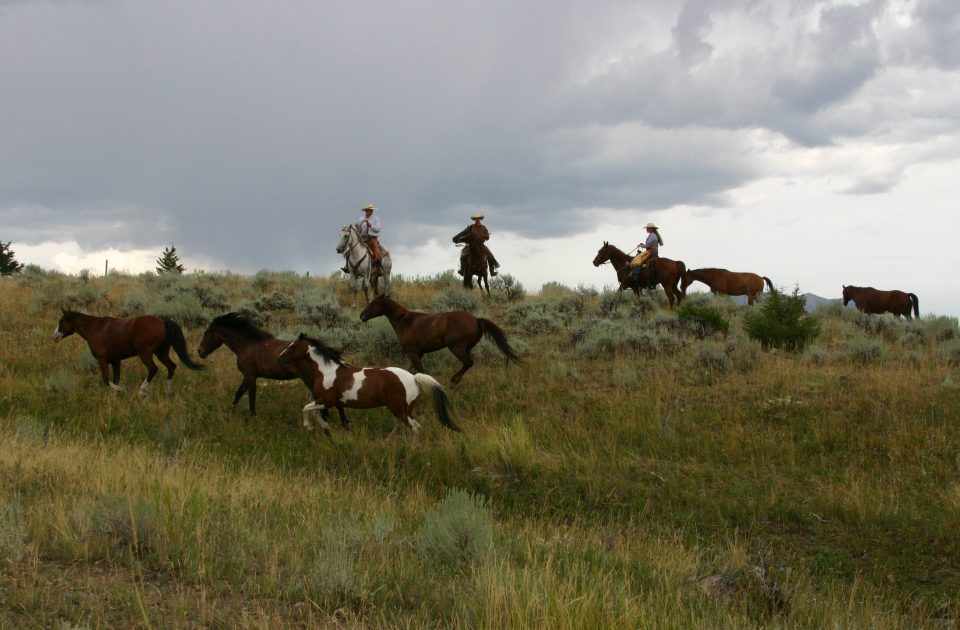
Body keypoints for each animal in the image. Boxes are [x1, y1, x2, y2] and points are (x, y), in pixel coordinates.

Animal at [52, 310, 202, 398]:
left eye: (61, 321)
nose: (54, 337)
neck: (95, 329)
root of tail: (163, 323)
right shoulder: (115, 361)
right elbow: (115, 378)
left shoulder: (102, 360)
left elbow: (106, 380)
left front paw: (123, 391)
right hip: (161, 352)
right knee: (171, 366)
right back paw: (169, 392)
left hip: (145, 353)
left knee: (153, 369)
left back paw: (142, 392)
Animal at [199, 312, 352, 428]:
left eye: (207, 333)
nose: (200, 352)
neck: (247, 344)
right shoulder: (248, 376)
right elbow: (238, 394)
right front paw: (230, 412)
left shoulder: (250, 376)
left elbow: (250, 397)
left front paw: (251, 418)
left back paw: (342, 423)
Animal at [276, 334, 460, 442]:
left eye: (293, 346)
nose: (279, 358)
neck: (327, 371)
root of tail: (414, 378)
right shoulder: (326, 402)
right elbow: (314, 412)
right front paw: (324, 428)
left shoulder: (327, 401)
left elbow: (306, 408)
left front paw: (309, 427)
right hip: (399, 409)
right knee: (400, 426)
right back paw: (386, 443)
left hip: (401, 409)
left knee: (415, 428)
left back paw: (412, 450)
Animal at [360, 296, 520, 386]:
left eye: (373, 303)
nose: (362, 316)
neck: (405, 322)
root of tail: (476, 319)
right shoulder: (418, 353)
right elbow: (411, 370)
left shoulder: (413, 352)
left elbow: (420, 370)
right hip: (466, 348)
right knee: (467, 363)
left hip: (456, 347)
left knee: (468, 362)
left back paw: (454, 380)